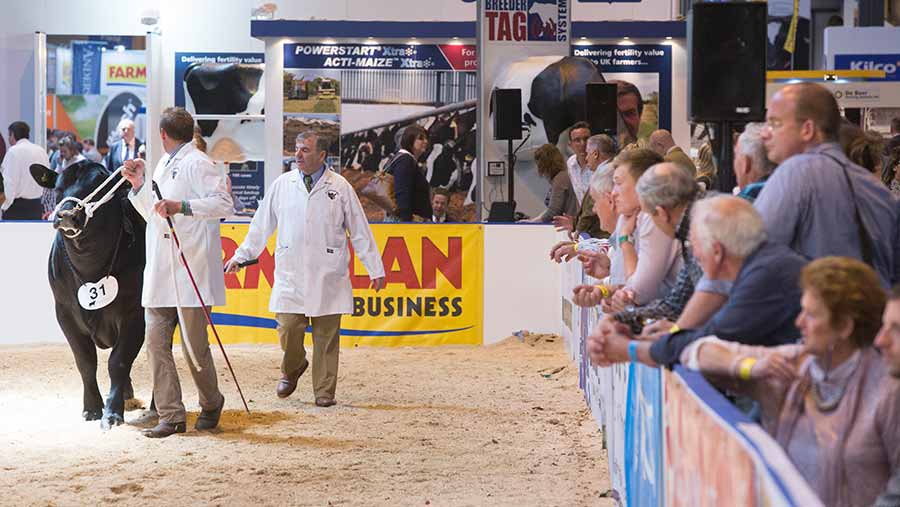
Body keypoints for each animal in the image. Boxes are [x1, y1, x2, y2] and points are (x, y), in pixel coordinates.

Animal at [31, 161, 148, 430]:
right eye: (58, 187)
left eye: (98, 187)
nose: (65, 215)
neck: (89, 267)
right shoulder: (64, 312)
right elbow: (85, 361)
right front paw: (92, 408)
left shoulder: (134, 313)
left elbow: (118, 361)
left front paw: (112, 413)